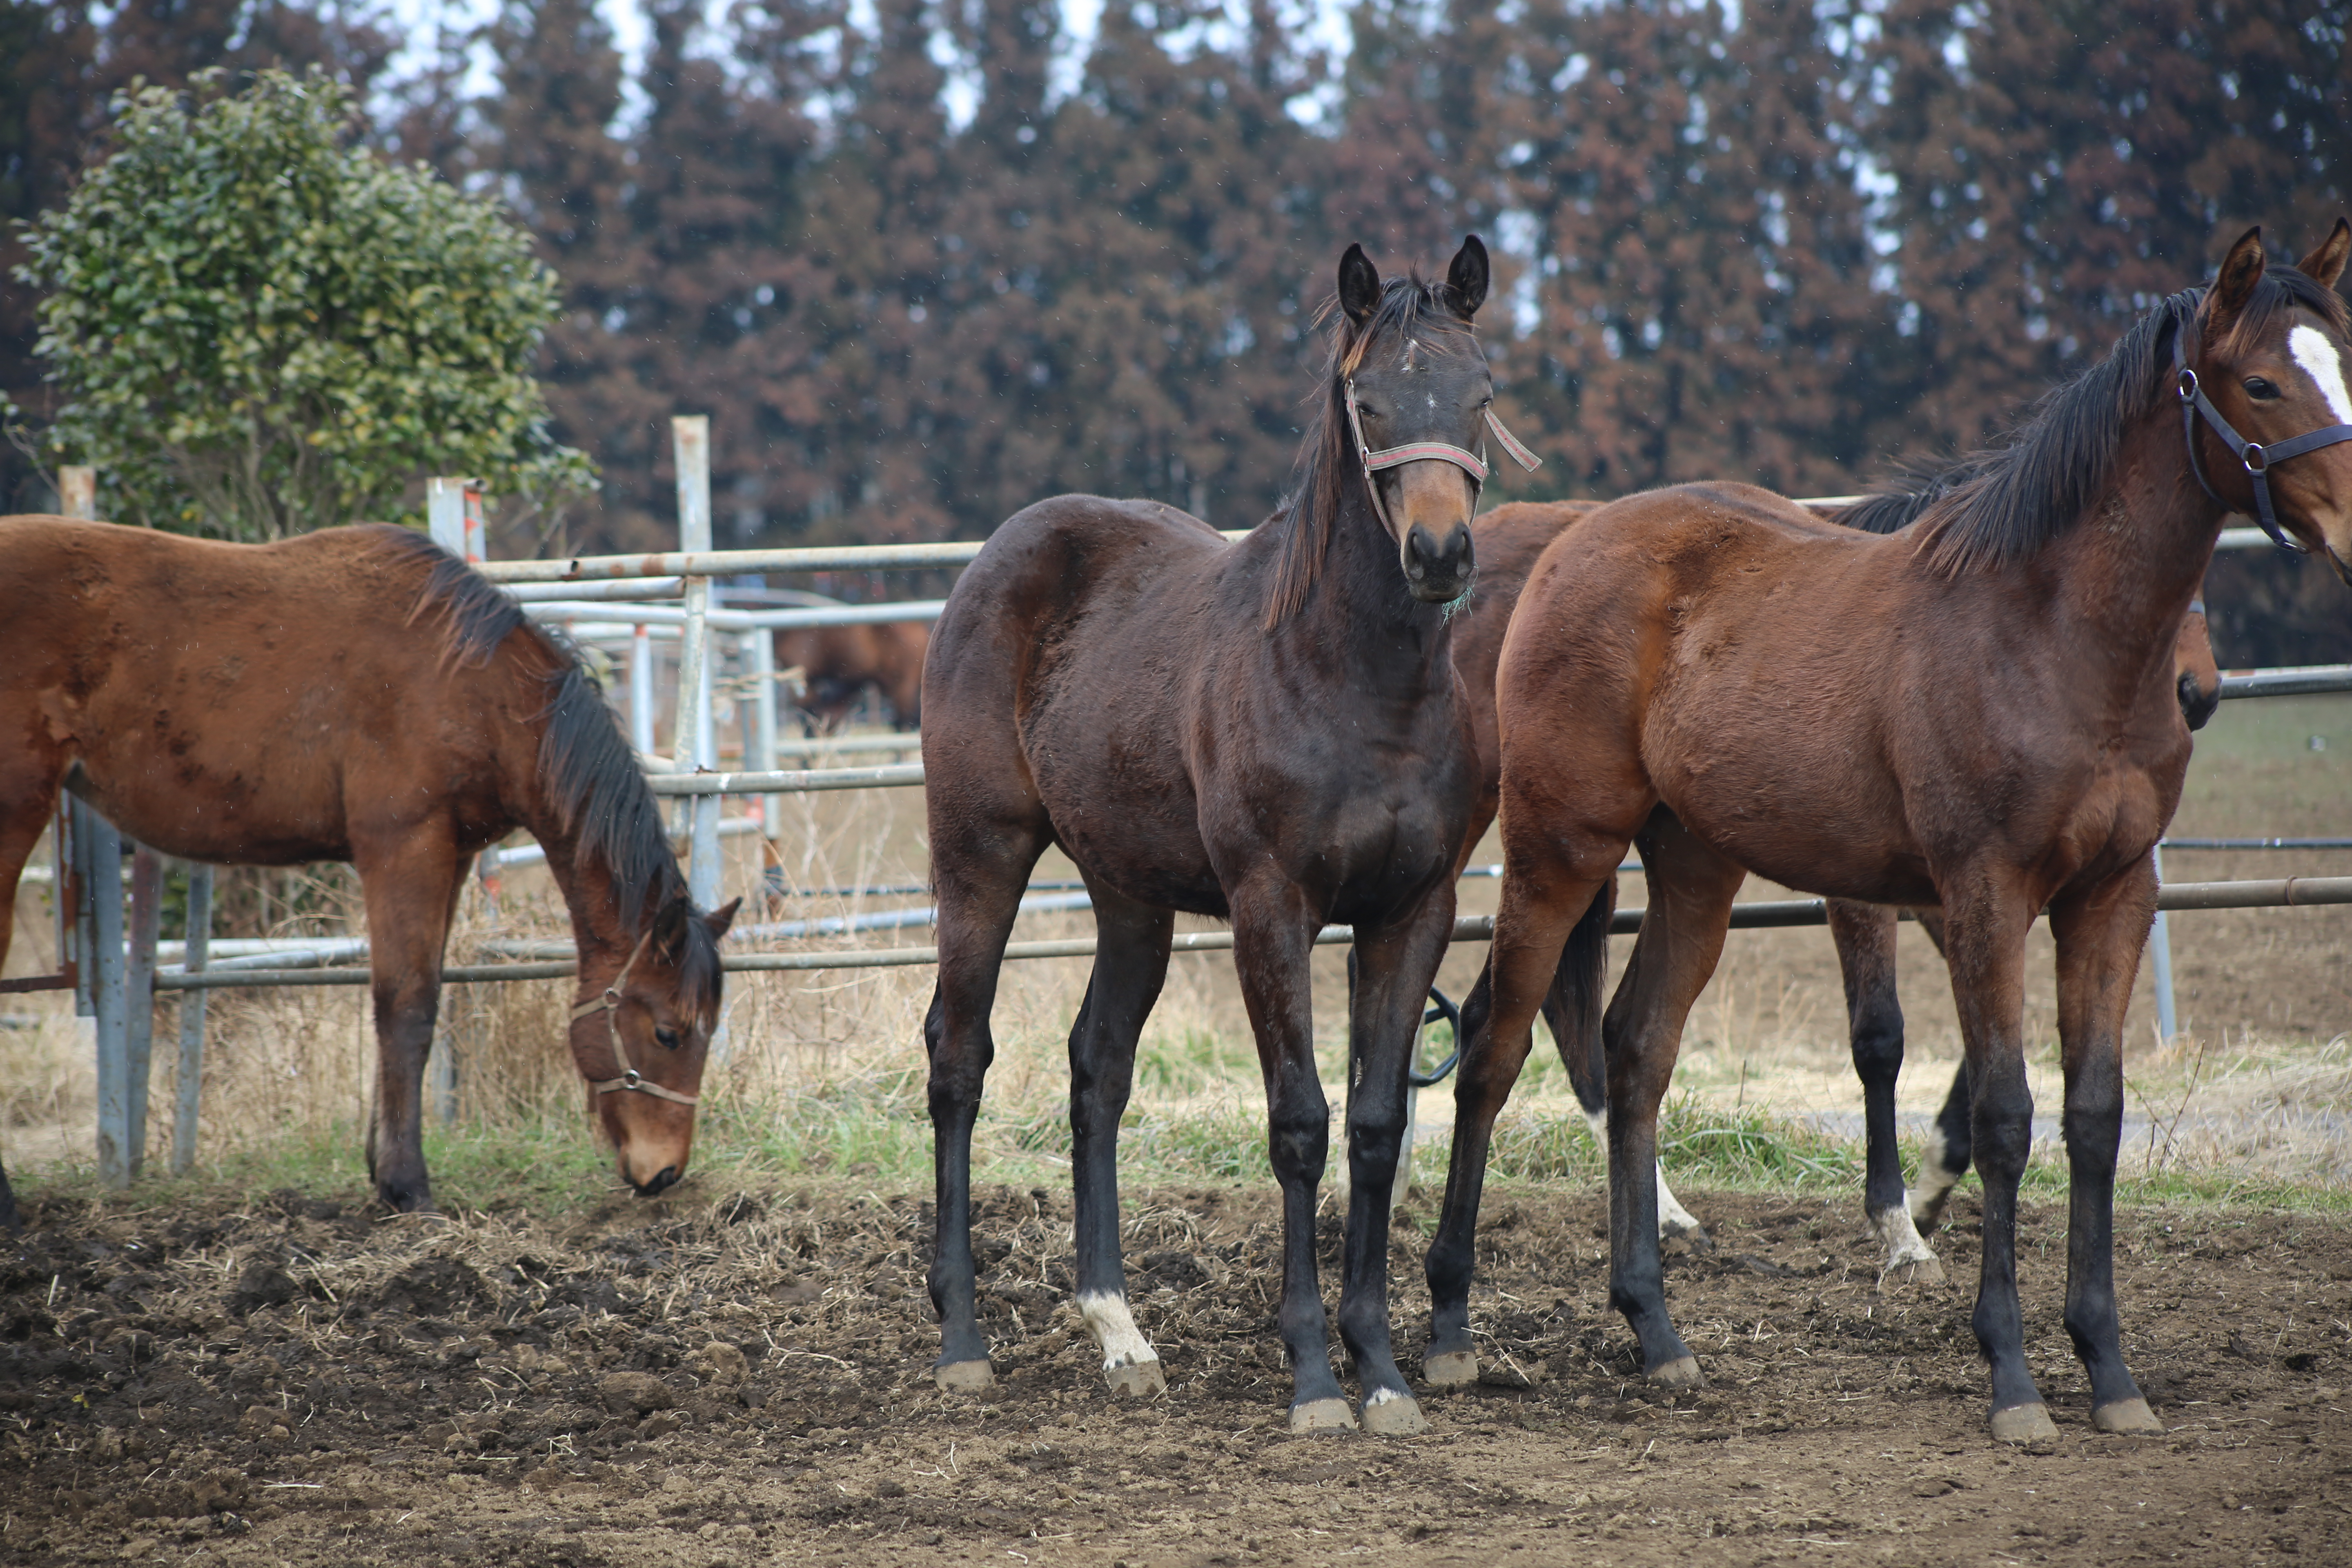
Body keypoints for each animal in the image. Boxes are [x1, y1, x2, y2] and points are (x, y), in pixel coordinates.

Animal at [0, 517, 734, 1213]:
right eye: (668, 1034)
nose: (665, 1173)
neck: (474, 686)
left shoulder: (449, 856)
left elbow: (421, 999)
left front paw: (383, 1169)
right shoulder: (402, 848)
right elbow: (405, 1007)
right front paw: (408, 1186)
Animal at [917, 236, 1524, 1439]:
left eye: (1479, 396)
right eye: (1369, 403)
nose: (1438, 553)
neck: (1357, 681)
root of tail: (999, 557)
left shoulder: (1412, 909)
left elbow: (1375, 1125)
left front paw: (1380, 1368)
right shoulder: (1269, 908)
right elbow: (1299, 1124)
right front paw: (1314, 1379)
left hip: (1129, 896)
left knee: (1097, 1067)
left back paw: (1118, 1330)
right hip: (979, 861)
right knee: (958, 1061)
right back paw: (962, 1339)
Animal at [1411, 223, 2352, 1448]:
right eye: (2261, 382)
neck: (2050, 635)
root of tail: (1575, 542)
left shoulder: (2112, 895)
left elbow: (2093, 1115)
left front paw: (2108, 1370)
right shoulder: (1980, 894)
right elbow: (1999, 1112)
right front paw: (2008, 1373)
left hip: (1695, 867)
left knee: (1635, 1048)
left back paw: (1655, 1330)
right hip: (1558, 846)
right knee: (1495, 1041)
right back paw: (1449, 1326)